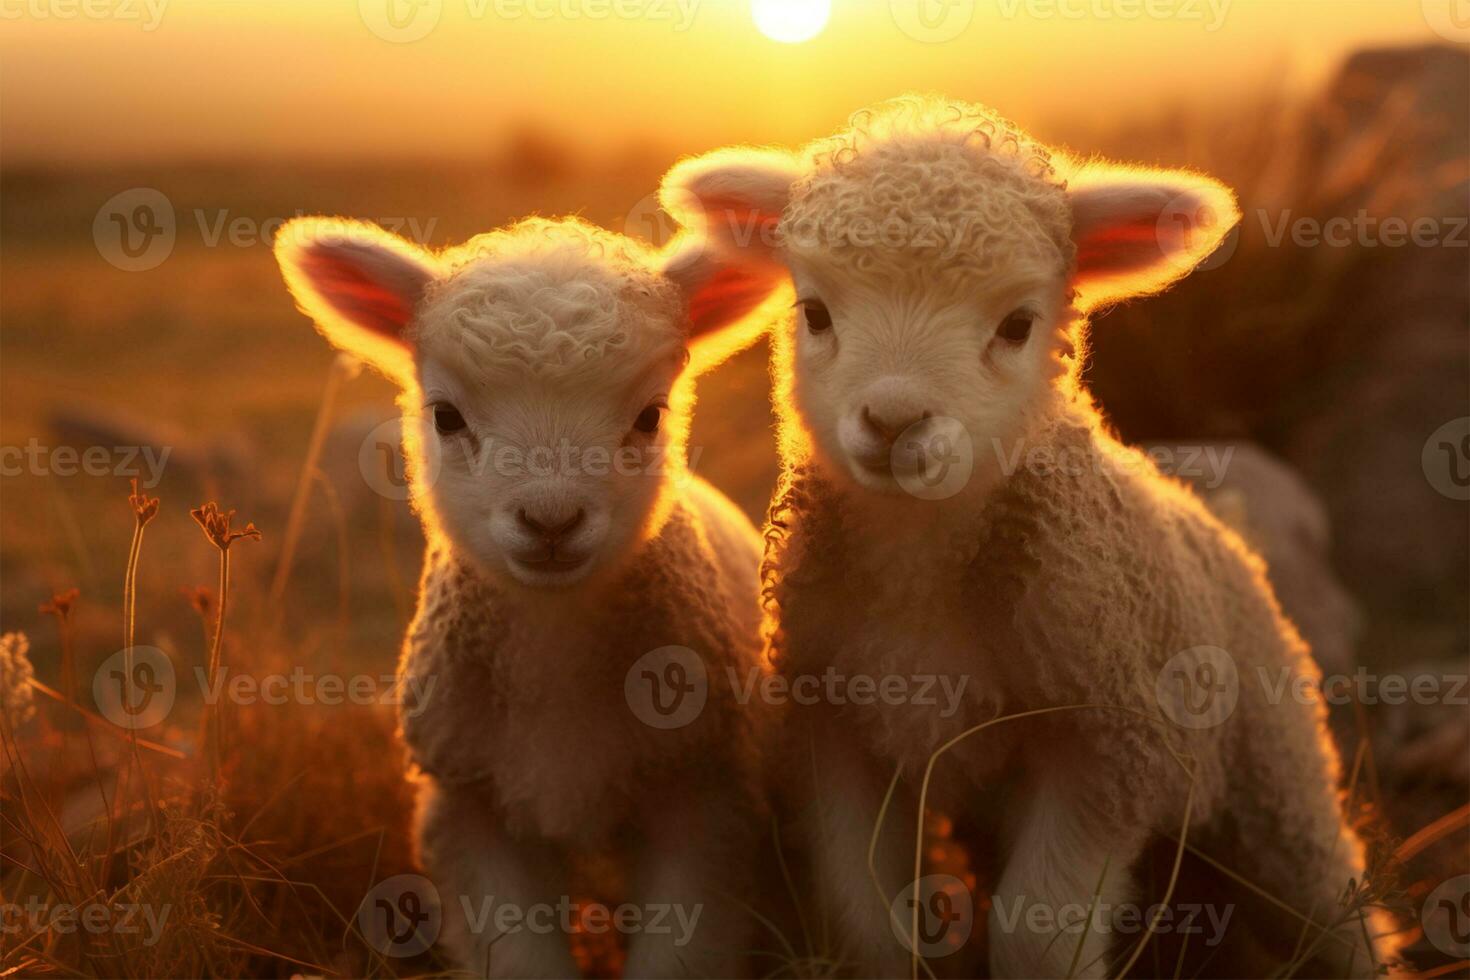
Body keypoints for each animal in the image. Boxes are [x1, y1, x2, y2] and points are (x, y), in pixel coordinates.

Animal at [271, 215, 787, 980]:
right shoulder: (469, 806)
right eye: (446, 417)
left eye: (651, 415)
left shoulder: (702, 794)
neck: (554, 660)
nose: (550, 520)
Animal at [658, 99, 1399, 980]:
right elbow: (869, 921)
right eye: (815, 312)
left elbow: (1038, 931)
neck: (919, 571)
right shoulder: (831, 731)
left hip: (1277, 783)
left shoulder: (1114, 741)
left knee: (1337, 911)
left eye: (1017, 325)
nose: (894, 421)